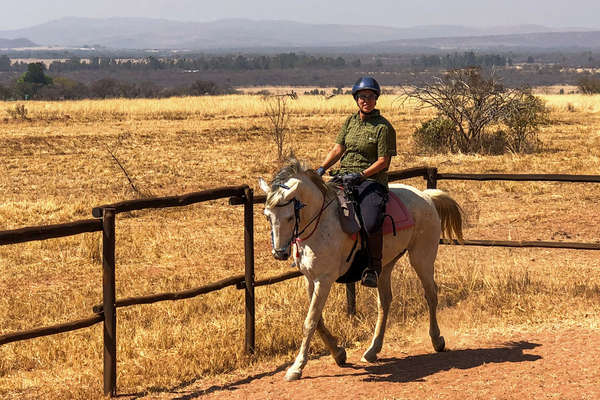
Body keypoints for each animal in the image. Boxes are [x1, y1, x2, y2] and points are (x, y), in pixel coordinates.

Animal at [258, 157, 464, 382]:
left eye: (289, 217)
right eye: (268, 216)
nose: (279, 253)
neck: (320, 222)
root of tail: (425, 196)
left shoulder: (324, 279)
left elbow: (310, 322)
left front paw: (297, 367)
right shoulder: (310, 279)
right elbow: (318, 320)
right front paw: (339, 353)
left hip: (422, 258)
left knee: (431, 294)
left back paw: (437, 340)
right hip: (384, 266)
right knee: (385, 301)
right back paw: (373, 350)